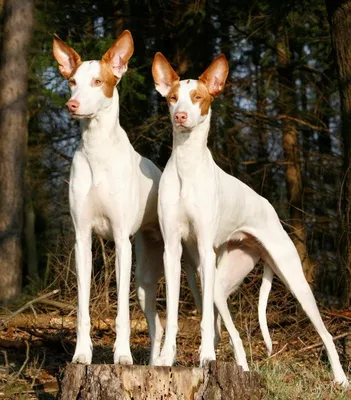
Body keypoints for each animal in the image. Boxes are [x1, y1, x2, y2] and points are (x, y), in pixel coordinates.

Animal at [151, 50, 350, 388]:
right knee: (231, 334)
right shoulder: (172, 251)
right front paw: (166, 360)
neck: (187, 167)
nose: (180, 116)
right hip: (219, 282)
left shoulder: (204, 248)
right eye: (173, 98)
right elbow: (176, 315)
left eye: (198, 97)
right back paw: (239, 367)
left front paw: (205, 358)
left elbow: (205, 322)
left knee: (325, 333)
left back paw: (340, 378)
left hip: (293, 278)